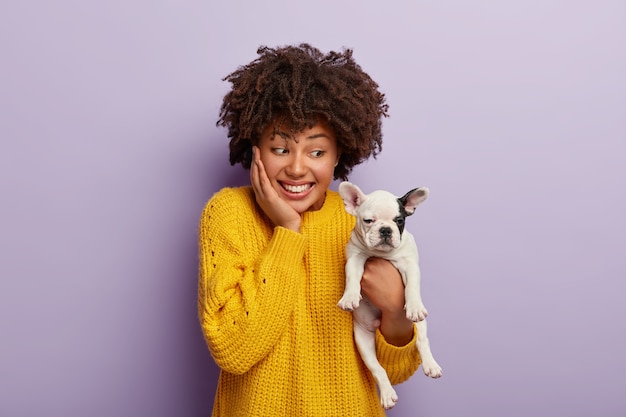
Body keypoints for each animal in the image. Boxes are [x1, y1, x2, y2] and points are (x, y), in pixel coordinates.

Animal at [334, 182, 442, 410]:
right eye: (368, 221)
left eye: (399, 221)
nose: (385, 229)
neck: (382, 254)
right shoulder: (355, 257)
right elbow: (352, 276)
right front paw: (349, 297)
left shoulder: (409, 264)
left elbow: (411, 287)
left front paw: (413, 306)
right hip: (363, 339)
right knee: (377, 368)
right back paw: (387, 393)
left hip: (420, 326)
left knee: (422, 341)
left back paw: (431, 365)